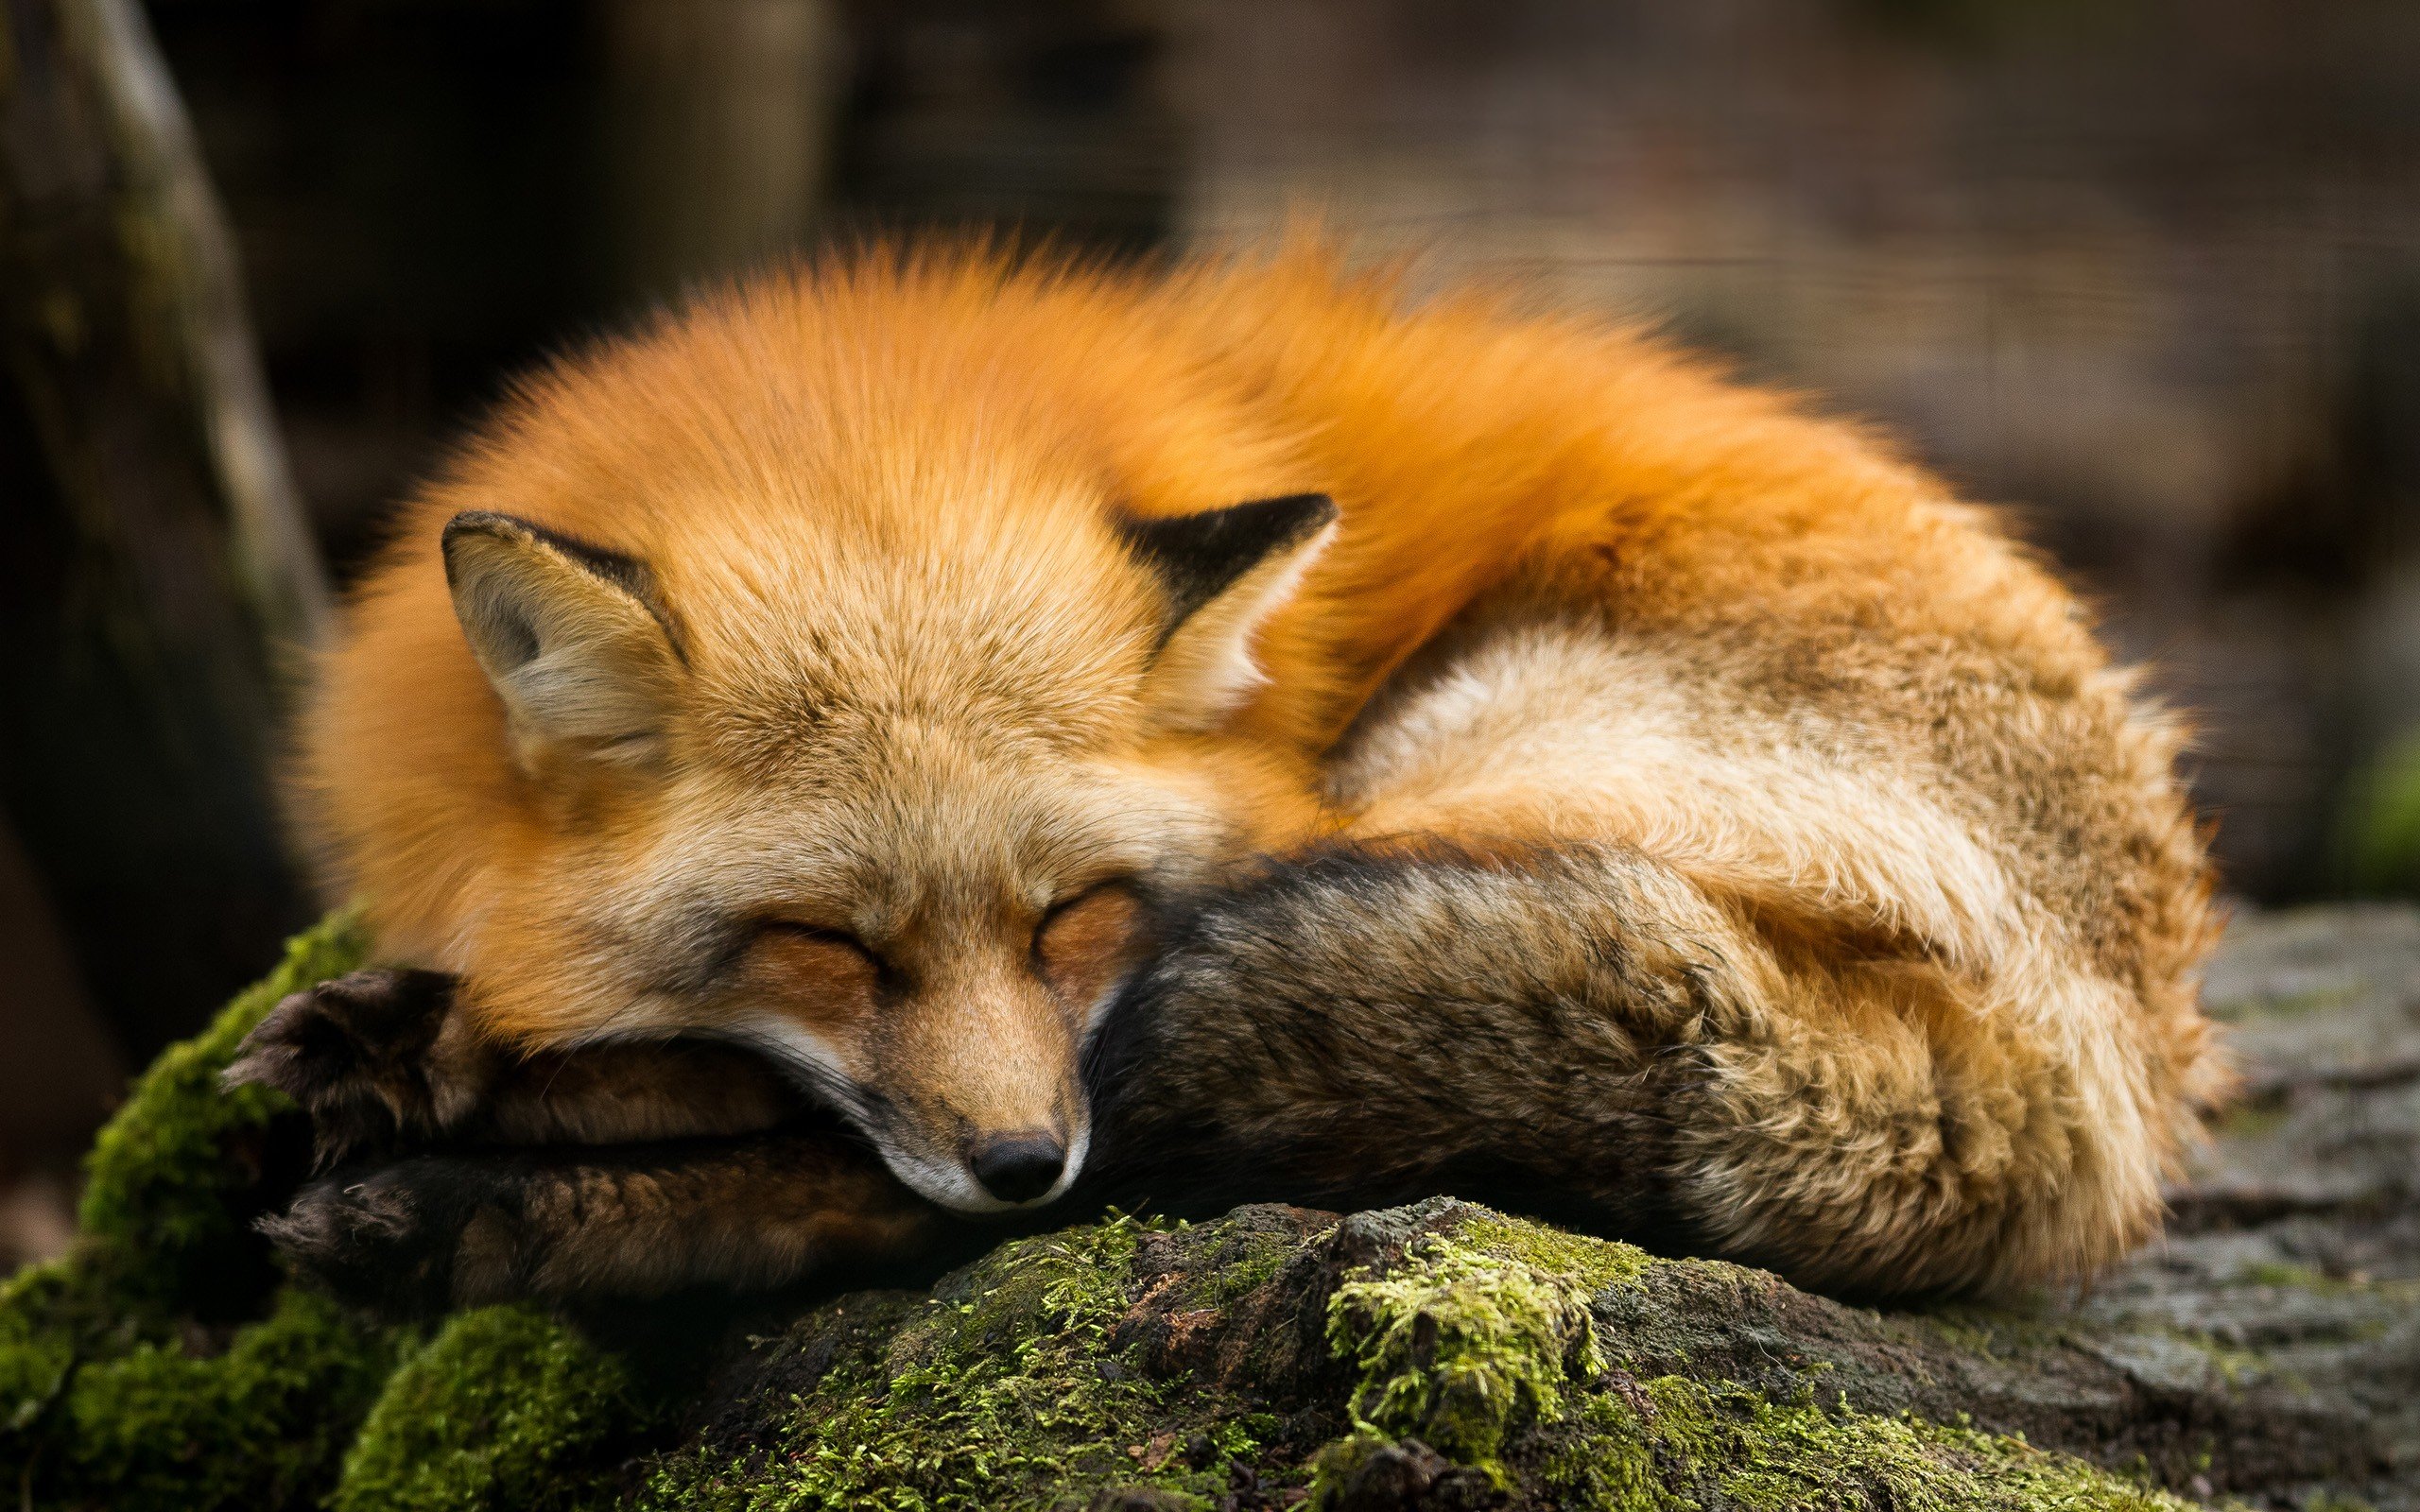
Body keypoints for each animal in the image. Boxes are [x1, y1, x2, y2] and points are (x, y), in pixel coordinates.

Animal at [225, 238, 2226, 1312]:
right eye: (829, 947)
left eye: (1075, 917)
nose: (1018, 1161)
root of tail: (2120, 1078)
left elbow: (802, 1111)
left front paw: (459, 1066)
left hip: (1457, 781)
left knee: (994, 1172)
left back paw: (468, 1186)